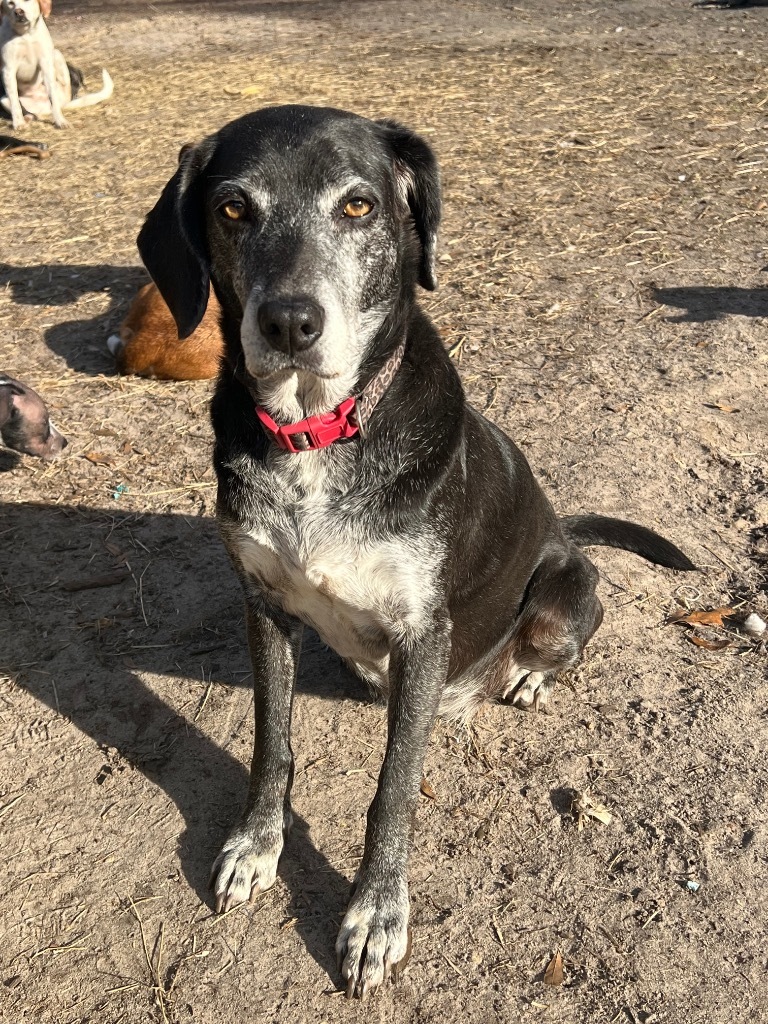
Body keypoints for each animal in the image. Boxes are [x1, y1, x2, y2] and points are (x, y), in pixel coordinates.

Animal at [138, 105, 696, 999]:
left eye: (359, 205)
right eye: (232, 208)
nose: (289, 323)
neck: (318, 434)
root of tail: (564, 531)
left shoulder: (422, 632)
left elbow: (393, 787)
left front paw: (375, 912)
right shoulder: (263, 604)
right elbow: (271, 746)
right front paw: (256, 846)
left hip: (559, 599)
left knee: (552, 642)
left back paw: (528, 677)